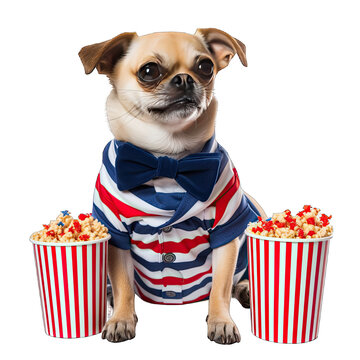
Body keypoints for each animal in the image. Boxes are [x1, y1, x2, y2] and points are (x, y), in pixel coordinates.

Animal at [78, 28, 264, 344]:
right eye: (149, 71)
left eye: (205, 67)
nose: (185, 78)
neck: (167, 159)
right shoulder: (116, 232)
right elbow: (124, 285)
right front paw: (121, 319)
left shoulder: (226, 230)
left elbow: (220, 286)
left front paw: (221, 321)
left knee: (236, 280)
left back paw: (247, 289)